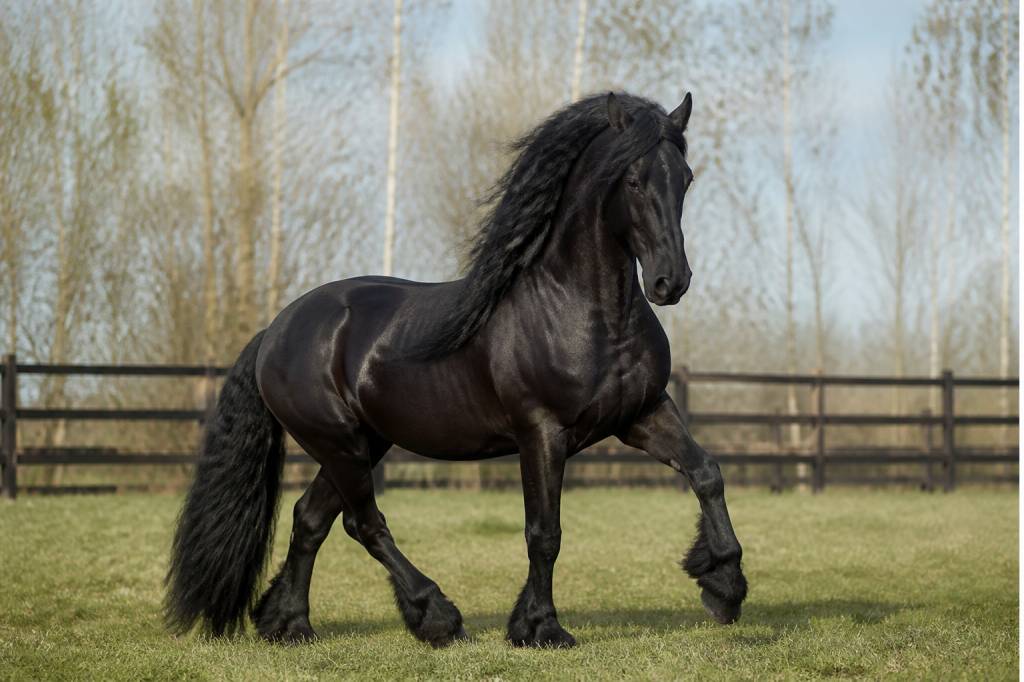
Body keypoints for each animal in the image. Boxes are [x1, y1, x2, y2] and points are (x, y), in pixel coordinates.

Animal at [165, 91, 747, 649]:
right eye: (631, 178)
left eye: (685, 178)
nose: (671, 282)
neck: (580, 309)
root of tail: (276, 331)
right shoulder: (541, 433)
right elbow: (545, 533)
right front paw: (541, 628)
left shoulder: (641, 414)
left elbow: (707, 473)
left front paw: (724, 586)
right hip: (338, 444)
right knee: (363, 523)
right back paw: (436, 617)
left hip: (361, 443)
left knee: (310, 520)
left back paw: (290, 626)